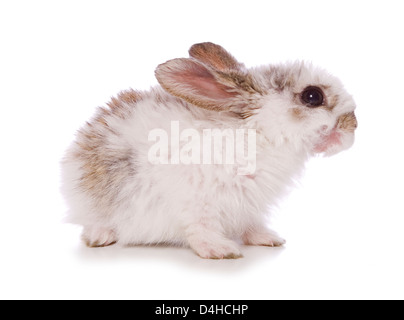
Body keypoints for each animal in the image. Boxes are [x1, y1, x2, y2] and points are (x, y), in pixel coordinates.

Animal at [60, 42, 356, 258]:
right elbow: (200, 229)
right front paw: (220, 250)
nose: (352, 125)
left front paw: (268, 239)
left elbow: (251, 225)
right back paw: (100, 236)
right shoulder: (196, 201)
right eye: (312, 96)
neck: (257, 135)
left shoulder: (249, 205)